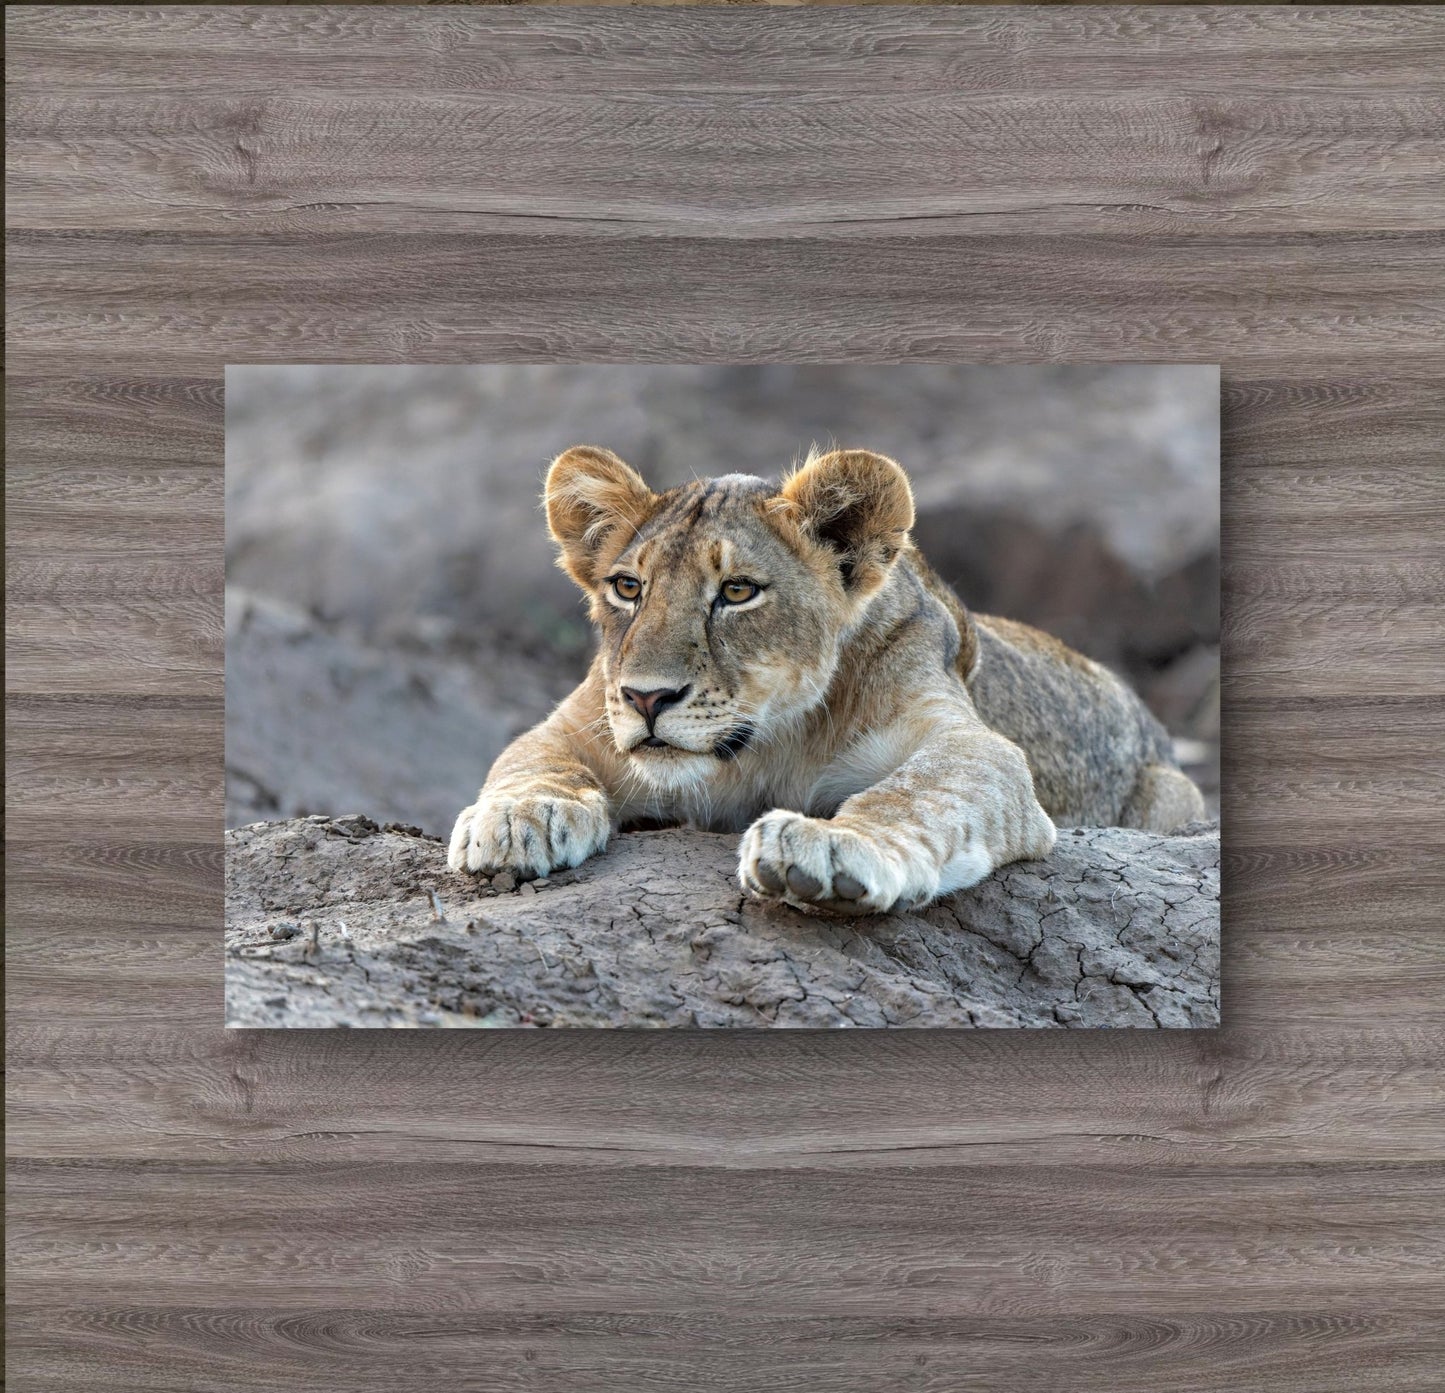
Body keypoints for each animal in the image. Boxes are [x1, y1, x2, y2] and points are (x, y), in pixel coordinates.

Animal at [448, 445, 1206, 915]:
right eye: (627, 587)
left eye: (738, 591)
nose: (645, 697)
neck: (765, 746)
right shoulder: (578, 721)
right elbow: (528, 759)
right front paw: (519, 818)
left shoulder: (974, 745)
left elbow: (913, 792)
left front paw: (835, 845)